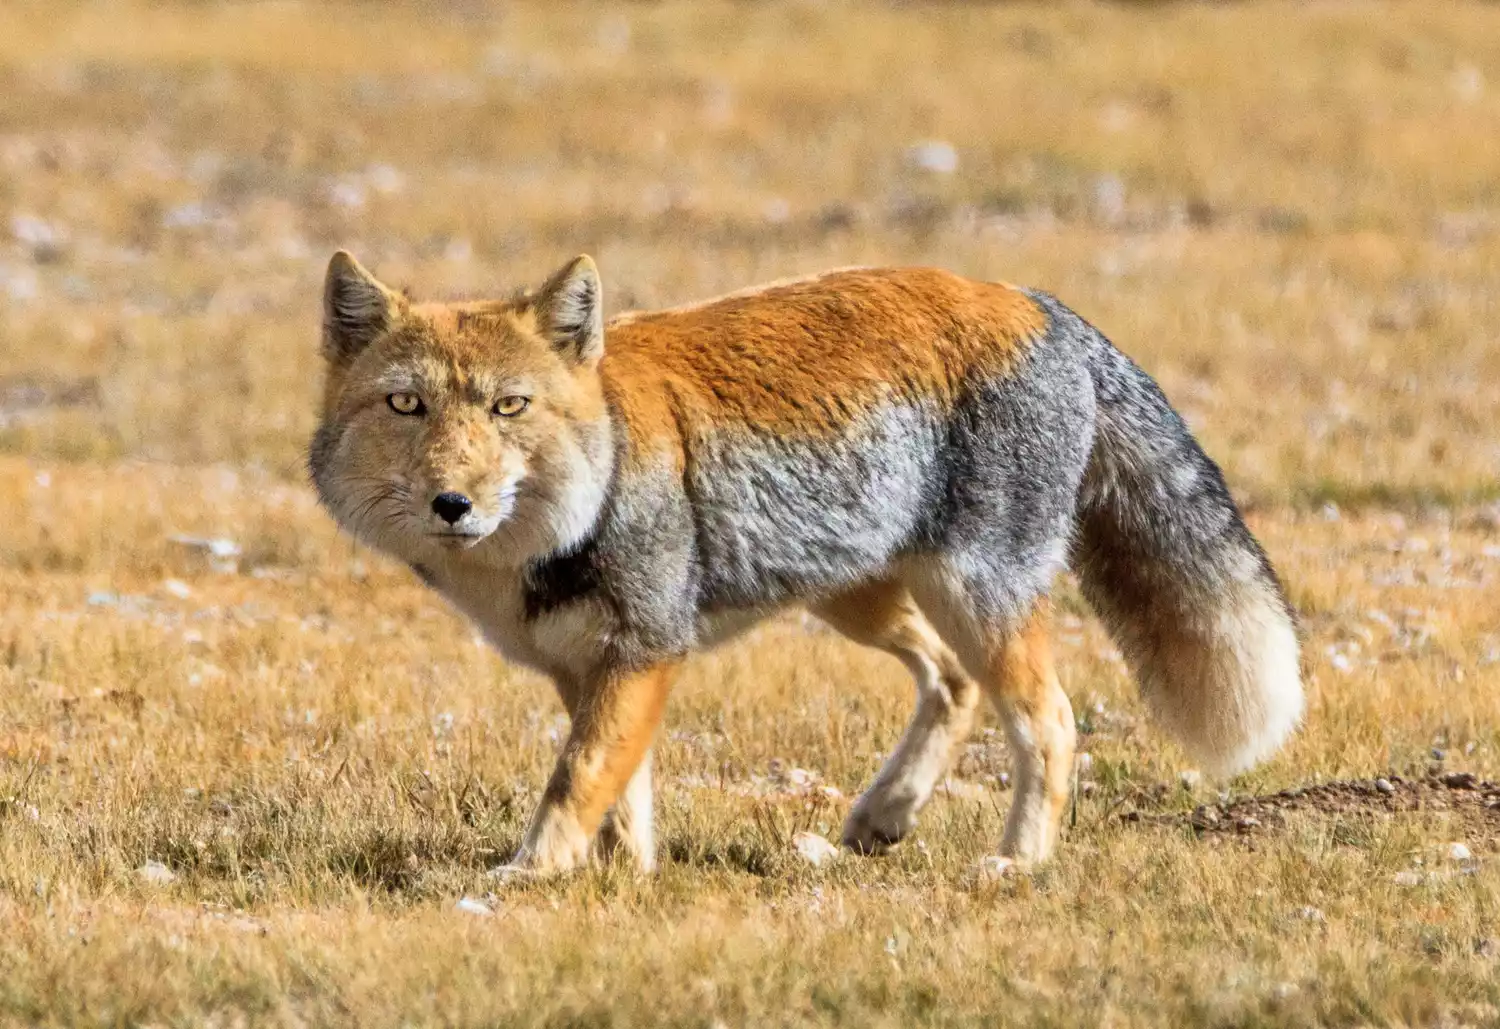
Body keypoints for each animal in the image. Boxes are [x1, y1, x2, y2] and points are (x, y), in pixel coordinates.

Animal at [307, 252, 1302, 876]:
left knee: (1049, 722)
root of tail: (1028, 296)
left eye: (508, 407)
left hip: (970, 599)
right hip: (860, 599)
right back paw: (882, 815)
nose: (453, 503)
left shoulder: (645, 650)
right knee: (951, 685)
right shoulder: (584, 667)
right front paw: (622, 881)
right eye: (407, 405)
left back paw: (1018, 861)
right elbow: (622, 796)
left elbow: (577, 779)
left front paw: (529, 875)